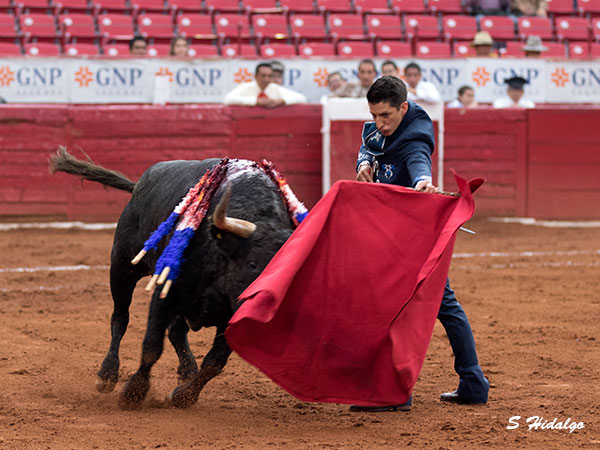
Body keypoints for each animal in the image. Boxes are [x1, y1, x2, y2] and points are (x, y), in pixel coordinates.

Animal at [50, 149, 294, 410]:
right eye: (252, 264)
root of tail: (138, 187)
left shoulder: (233, 316)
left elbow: (214, 362)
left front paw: (184, 396)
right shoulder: (164, 293)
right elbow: (151, 346)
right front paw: (133, 393)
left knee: (177, 330)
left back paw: (187, 370)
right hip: (122, 267)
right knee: (120, 318)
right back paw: (107, 374)